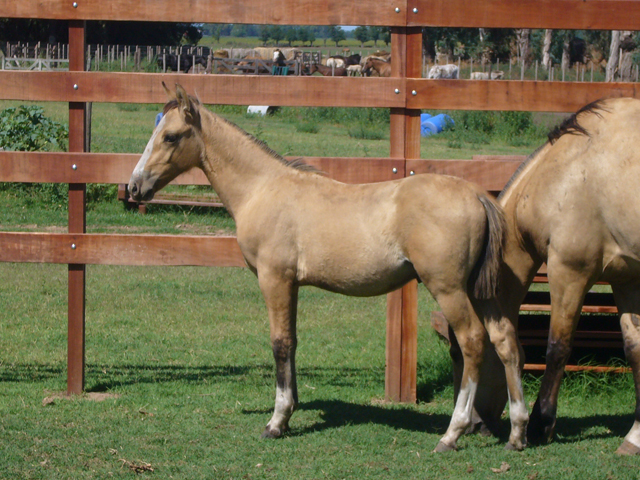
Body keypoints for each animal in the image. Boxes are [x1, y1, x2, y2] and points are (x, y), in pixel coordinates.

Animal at [127, 82, 528, 450]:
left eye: (170, 136)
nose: (133, 187)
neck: (263, 188)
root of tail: (476, 194)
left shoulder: (274, 280)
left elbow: (280, 343)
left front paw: (277, 421)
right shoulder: (291, 285)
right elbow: (293, 342)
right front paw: (289, 412)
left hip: (448, 288)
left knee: (472, 341)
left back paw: (452, 432)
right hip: (480, 291)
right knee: (505, 340)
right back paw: (517, 432)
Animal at [476, 96, 640, 454]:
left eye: (461, 353)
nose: (475, 424)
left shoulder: (569, 272)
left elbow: (558, 347)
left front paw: (541, 423)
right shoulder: (626, 279)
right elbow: (635, 347)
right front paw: (636, 434)